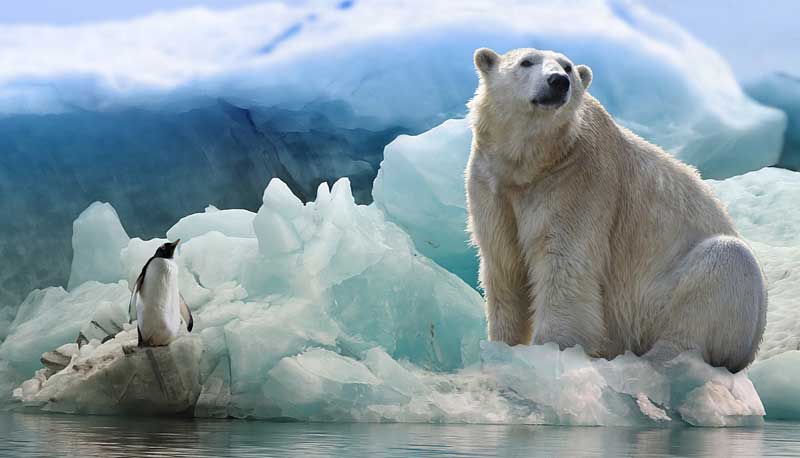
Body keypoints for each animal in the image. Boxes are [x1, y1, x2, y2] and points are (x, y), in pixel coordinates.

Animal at [465, 47, 767, 372]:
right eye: (526, 62)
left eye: (567, 67)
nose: (558, 81)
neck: (534, 163)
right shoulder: (492, 185)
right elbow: (504, 266)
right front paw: (503, 347)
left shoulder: (578, 182)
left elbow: (564, 266)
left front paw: (551, 351)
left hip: (672, 298)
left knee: (723, 266)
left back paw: (659, 359)